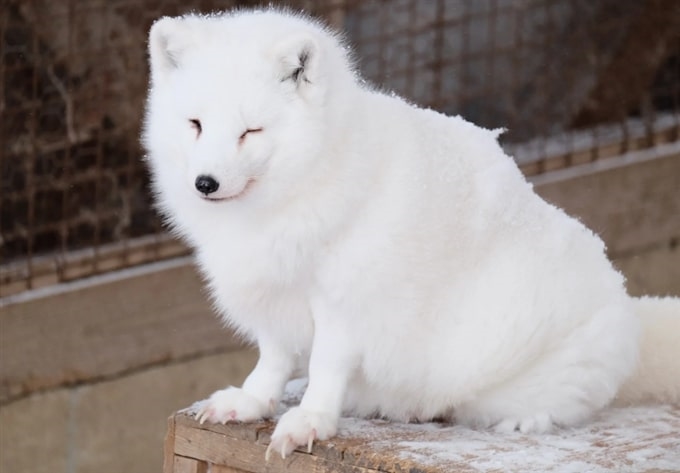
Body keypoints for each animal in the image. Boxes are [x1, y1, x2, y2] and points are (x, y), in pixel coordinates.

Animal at [141, 7, 676, 458]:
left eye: (250, 132)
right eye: (195, 124)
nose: (205, 183)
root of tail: (629, 310)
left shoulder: (344, 302)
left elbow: (324, 368)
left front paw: (311, 420)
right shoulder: (274, 298)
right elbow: (272, 361)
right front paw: (252, 401)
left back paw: (519, 420)